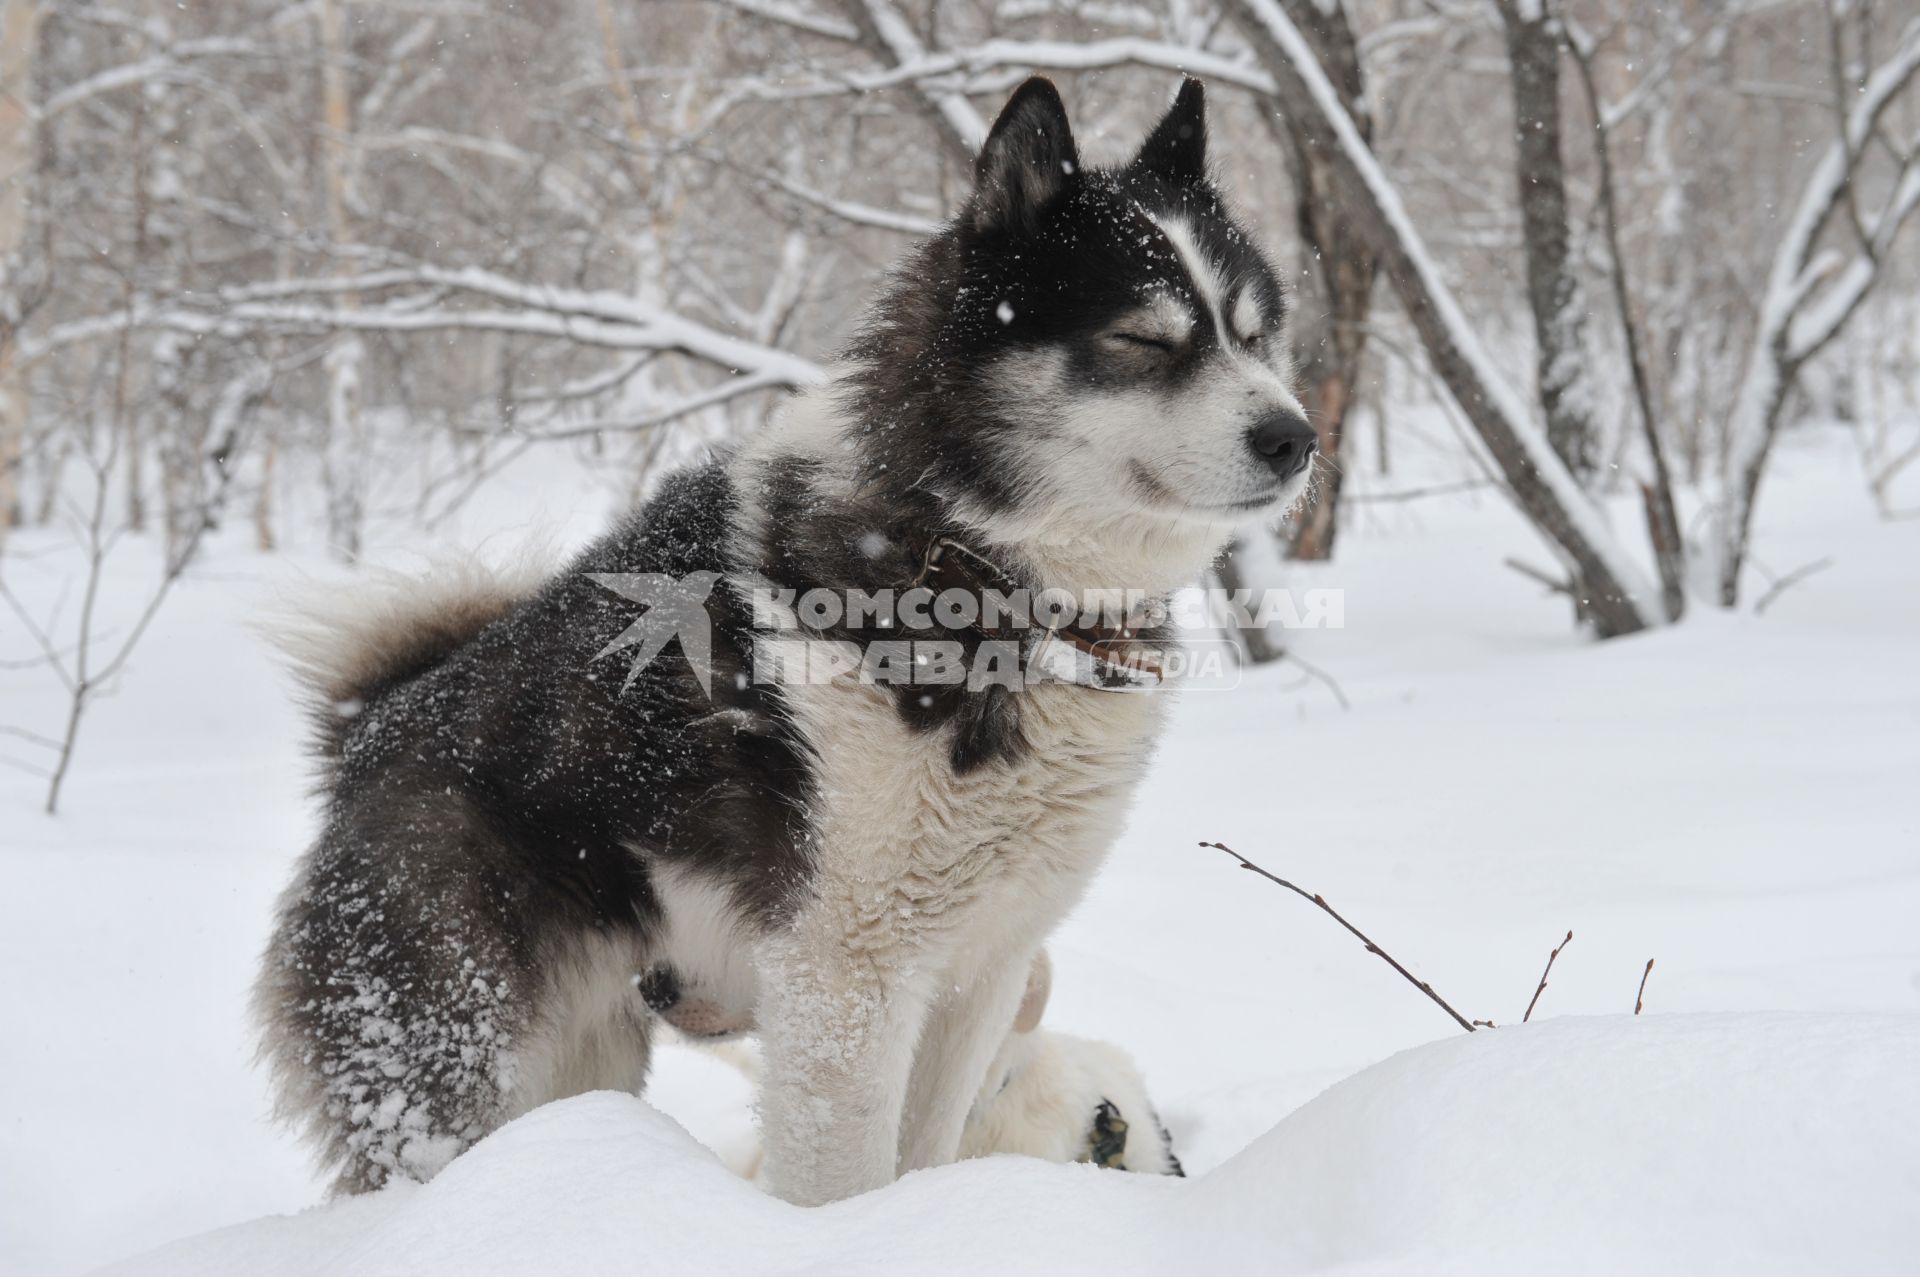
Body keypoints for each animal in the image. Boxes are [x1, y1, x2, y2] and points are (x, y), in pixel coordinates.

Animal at [255, 79, 1313, 1205]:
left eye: (1255, 334)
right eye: (1145, 341)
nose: (1297, 437)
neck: (968, 558)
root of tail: (372, 731)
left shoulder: (976, 970)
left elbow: (923, 1152)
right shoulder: (844, 977)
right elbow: (847, 1180)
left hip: (587, 1057)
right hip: (462, 1066)